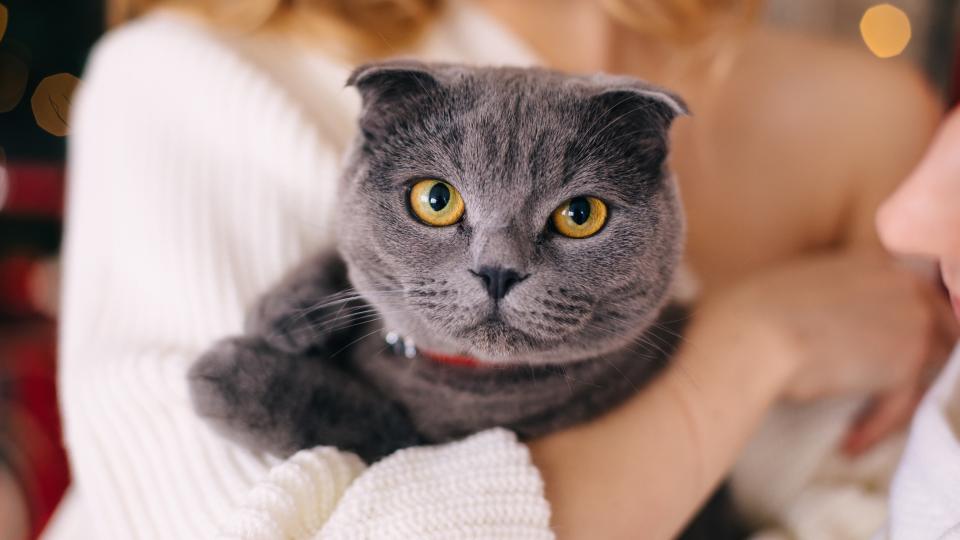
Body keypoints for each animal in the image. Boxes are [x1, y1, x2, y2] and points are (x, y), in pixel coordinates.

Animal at [189, 59, 688, 464]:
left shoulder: (432, 443)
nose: (498, 270)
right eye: (436, 199)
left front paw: (234, 376)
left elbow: (365, 424)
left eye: (581, 214)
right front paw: (289, 313)